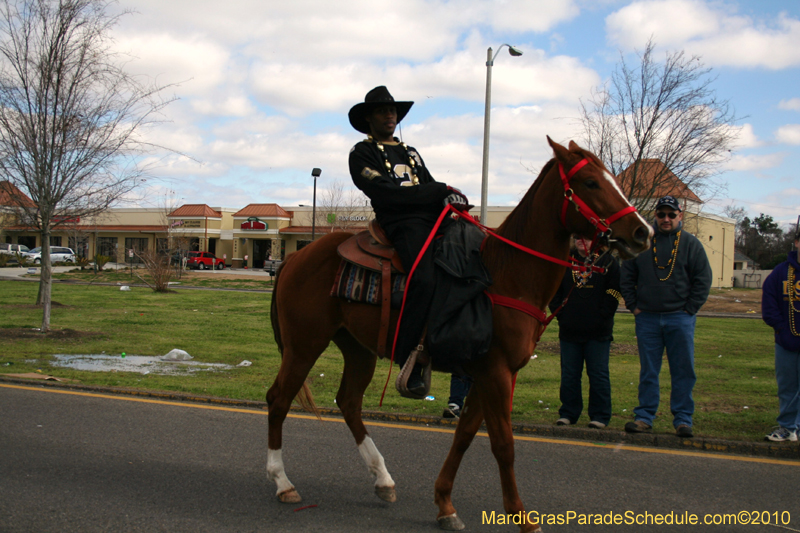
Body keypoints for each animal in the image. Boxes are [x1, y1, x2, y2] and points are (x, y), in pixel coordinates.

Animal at [266, 136, 652, 528]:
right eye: (591, 182)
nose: (642, 232)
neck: (505, 274)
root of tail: (295, 258)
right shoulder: (495, 374)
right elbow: (503, 445)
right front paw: (520, 516)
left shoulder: (488, 374)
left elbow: (465, 435)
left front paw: (445, 504)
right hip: (304, 345)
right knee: (279, 399)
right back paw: (283, 483)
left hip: (358, 349)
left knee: (348, 402)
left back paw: (383, 479)